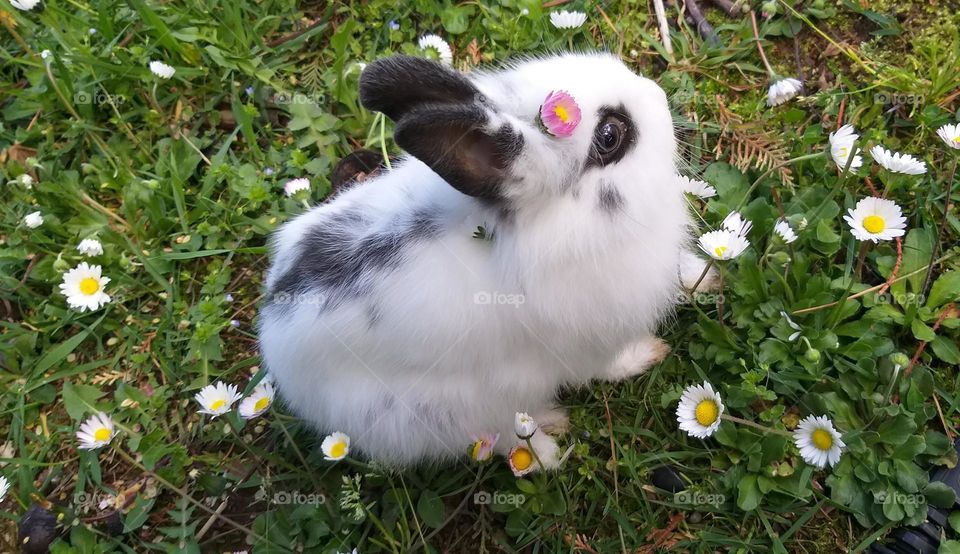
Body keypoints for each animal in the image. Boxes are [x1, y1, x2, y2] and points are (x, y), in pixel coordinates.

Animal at [258, 53, 713, 469]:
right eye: (610, 135)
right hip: (443, 409)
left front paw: (705, 281)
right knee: (497, 436)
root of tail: (274, 342)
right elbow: (609, 364)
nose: (658, 95)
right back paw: (548, 450)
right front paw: (648, 353)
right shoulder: (589, 344)